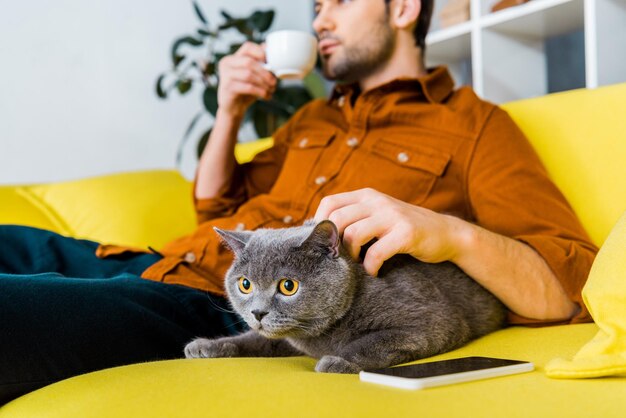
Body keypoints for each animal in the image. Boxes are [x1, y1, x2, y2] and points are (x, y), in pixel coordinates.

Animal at [183, 220, 504, 374]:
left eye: (288, 286)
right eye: (245, 284)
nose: (258, 313)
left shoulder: (431, 322)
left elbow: (375, 340)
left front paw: (338, 360)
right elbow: (255, 340)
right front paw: (206, 346)